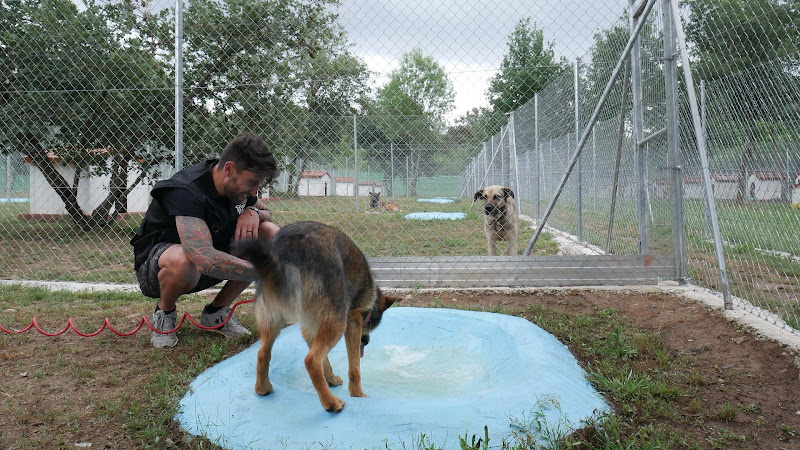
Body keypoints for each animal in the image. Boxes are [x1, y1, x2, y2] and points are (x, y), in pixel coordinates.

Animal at [231, 220, 400, 414]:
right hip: (337, 323)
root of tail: (289, 245)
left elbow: (325, 361)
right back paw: (331, 403)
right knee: (311, 360)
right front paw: (358, 395)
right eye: (371, 325)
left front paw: (331, 379)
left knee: (263, 354)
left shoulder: (309, 326)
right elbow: (354, 368)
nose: (366, 342)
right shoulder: (352, 322)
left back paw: (263, 388)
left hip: (272, 319)